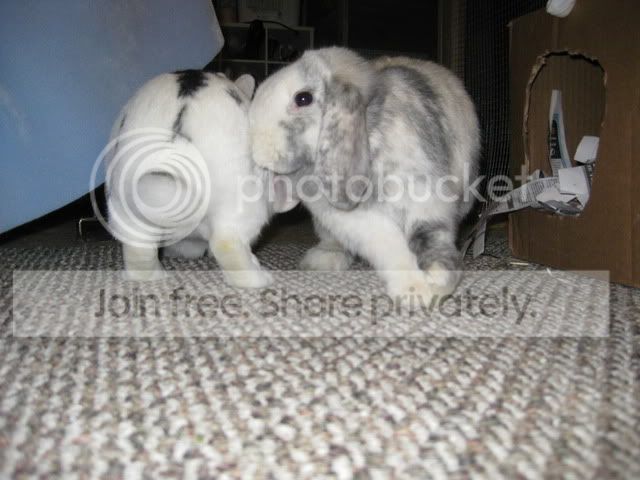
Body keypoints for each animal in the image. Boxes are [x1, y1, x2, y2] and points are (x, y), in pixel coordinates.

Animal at [105, 70, 298, 287]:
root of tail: (174, 144)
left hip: (126, 211)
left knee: (138, 250)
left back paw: (153, 276)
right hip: (240, 206)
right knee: (226, 244)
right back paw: (259, 279)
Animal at [248, 47, 480, 300]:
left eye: (303, 98)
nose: (256, 150)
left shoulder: (425, 200)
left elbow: (431, 237)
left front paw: (437, 281)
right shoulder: (357, 220)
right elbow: (392, 248)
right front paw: (413, 291)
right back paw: (323, 259)